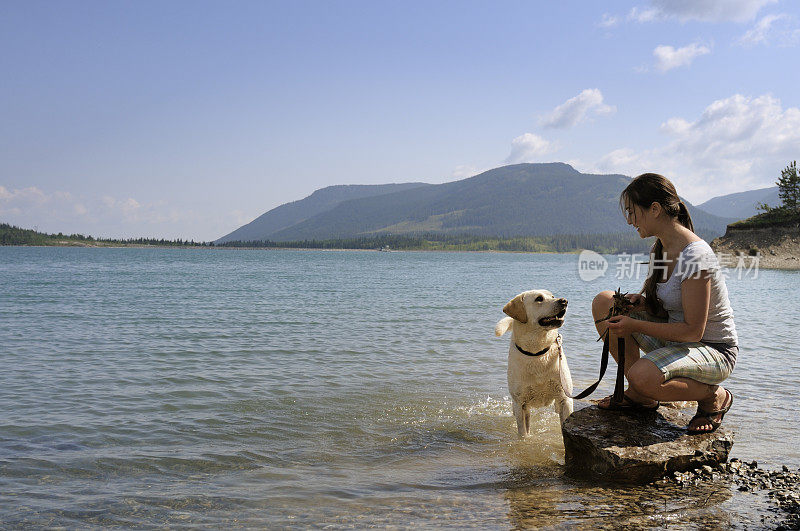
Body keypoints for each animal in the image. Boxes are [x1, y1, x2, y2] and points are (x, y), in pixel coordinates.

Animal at [496, 290, 572, 436]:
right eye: (539, 299)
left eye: (552, 296)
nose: (564, 301)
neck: (537, 353)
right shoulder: (520, 403)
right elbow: (523, 434)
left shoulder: (565, 399)